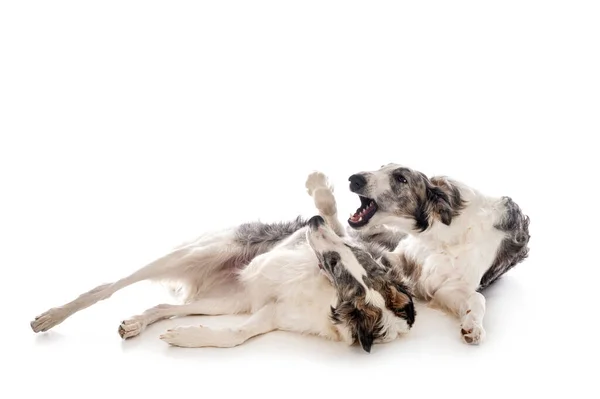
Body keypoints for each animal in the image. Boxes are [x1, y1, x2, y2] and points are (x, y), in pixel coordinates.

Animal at [30, 172, 414, 354]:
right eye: (347, 256)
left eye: (335, 265)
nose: (312, 221)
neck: (324, 291)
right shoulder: (298, 243)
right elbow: (335, 223)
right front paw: (321, 194)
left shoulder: (273, 313)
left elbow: (234, 336)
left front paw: (185, 337)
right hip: (192, 254)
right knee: (105, 287)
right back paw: (51, 316)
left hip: (226, 301)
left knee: (164, 306)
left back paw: (139, 322)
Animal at [342, 162, 528, 344]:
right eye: (381, 167)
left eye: (402, 178)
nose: (354, 179)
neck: (441, 235)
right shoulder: (398, 257)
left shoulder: (447, 289)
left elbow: (478, 298)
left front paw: (474, 326)